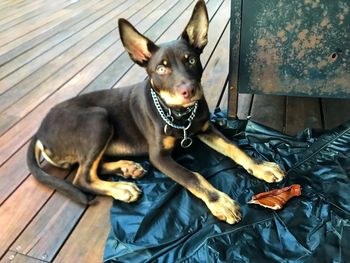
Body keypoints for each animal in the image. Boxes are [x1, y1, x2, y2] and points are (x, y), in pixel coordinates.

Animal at [26, 1, 284, 226]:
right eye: (161, 68)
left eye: (191, 60)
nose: (189, 91)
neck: (179, 116)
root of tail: (38, 131)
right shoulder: (158, 156)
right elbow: (192, 176)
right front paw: (220, 202)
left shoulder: (206, 128)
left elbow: (235, 148)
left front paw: (261, 166)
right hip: (98, 119)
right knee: (82, 176)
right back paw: (121, 188)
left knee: (88, 167)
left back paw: (127, 168)